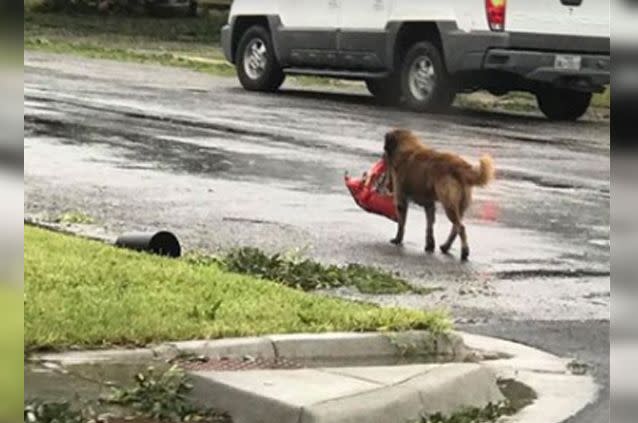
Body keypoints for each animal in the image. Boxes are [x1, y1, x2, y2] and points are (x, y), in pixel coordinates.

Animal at [384, 129, 496, 262]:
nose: (388, 186)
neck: (407, 147)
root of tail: (459, 165)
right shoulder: (429, 205)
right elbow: (429, 226)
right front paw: (429, 246)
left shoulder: (401, 200)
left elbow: (402, 224)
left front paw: (398, 240)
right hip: (459, 206)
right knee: (455, 228)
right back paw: (445, 247)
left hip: (449, 204)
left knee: (461, 228)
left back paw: (464, 252)